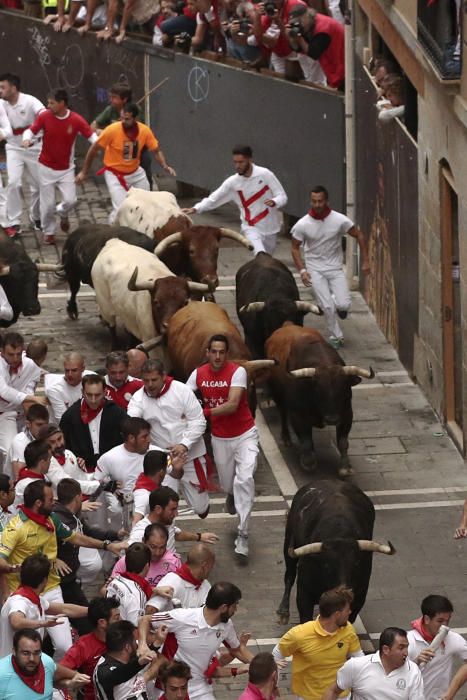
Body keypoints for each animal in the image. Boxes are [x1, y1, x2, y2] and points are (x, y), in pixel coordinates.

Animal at [266, 326, 374, 474]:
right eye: (318, 391)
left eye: (344, 390)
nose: (332, 420)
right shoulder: (297, 415)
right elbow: (306, 441)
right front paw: (308, 462)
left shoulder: (346, 414)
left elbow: (343, 442)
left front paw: (345, 467)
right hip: (277, 392)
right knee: (282, 412)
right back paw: (286, 438)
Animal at [278, 482, 394, 624]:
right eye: (326, 565)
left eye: (356, 563)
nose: (344, 591)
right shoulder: (304, 594)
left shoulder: (359, 598)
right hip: (289, 542)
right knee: (289, 575)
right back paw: (283, 612)